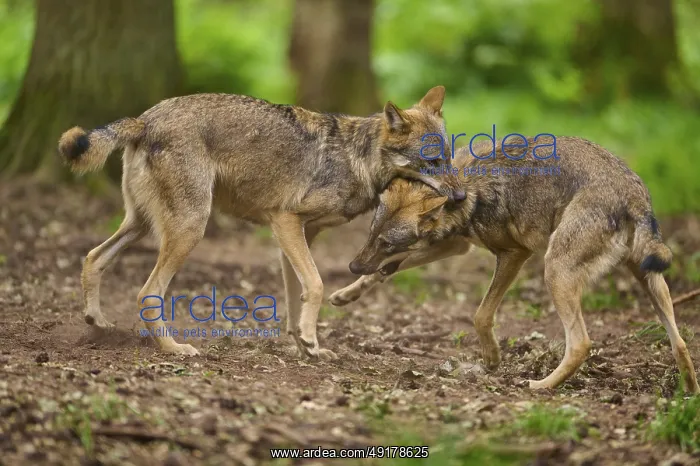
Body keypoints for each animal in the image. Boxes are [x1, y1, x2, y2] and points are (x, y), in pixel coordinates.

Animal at [57, 87, 463, 359]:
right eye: (432, 162)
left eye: (449, 158)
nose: (460, 198)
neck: (357, 159)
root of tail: (144, 119)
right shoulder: (285, 221)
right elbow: (317, 286)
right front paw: (310, 342)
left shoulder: (300, 234)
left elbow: (296, 297)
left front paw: (307, 346)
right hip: (190, 229)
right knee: (147, 292)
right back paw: (173, 348)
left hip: (141, 224)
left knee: (93, 257)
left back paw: (98, 322)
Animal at [330, 137, 700, 392]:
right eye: (372, 234)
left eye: (386, 241)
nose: (351, 266)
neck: (466, 189)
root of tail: (633, 195)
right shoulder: (456, 244)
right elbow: (387, 269)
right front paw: (346, 294)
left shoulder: (513, 254)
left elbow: (480, 315)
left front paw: (492, 360)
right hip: (649, 280)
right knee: (680, 343)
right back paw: (686, 394)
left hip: (556, 270)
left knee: (580, 343)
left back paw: (541, 386)